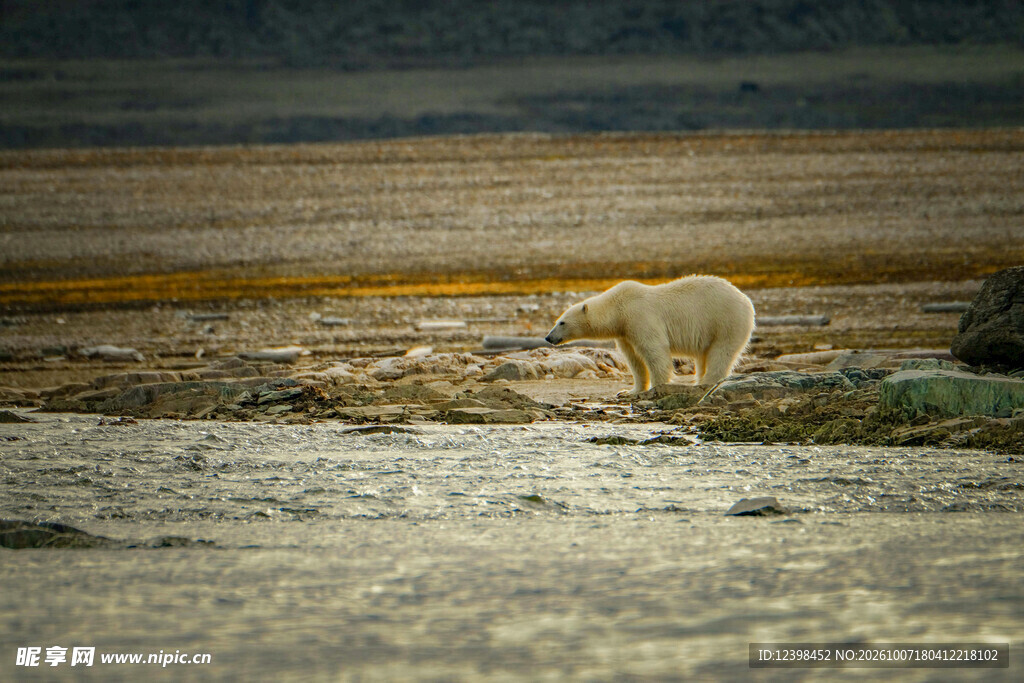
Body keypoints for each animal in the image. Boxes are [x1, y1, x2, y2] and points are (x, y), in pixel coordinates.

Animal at [545, 275, 755, 394]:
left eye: (561, 322)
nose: (548, 337)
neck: (618, 308)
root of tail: (746, 300)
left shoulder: (640, 317)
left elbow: (654, 351)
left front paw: (658, 386)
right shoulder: (625, 332)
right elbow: (634, 360)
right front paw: (630, 391)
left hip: (725, 321)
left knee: (721, 352)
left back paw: (707, 383)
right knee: (704, 356)